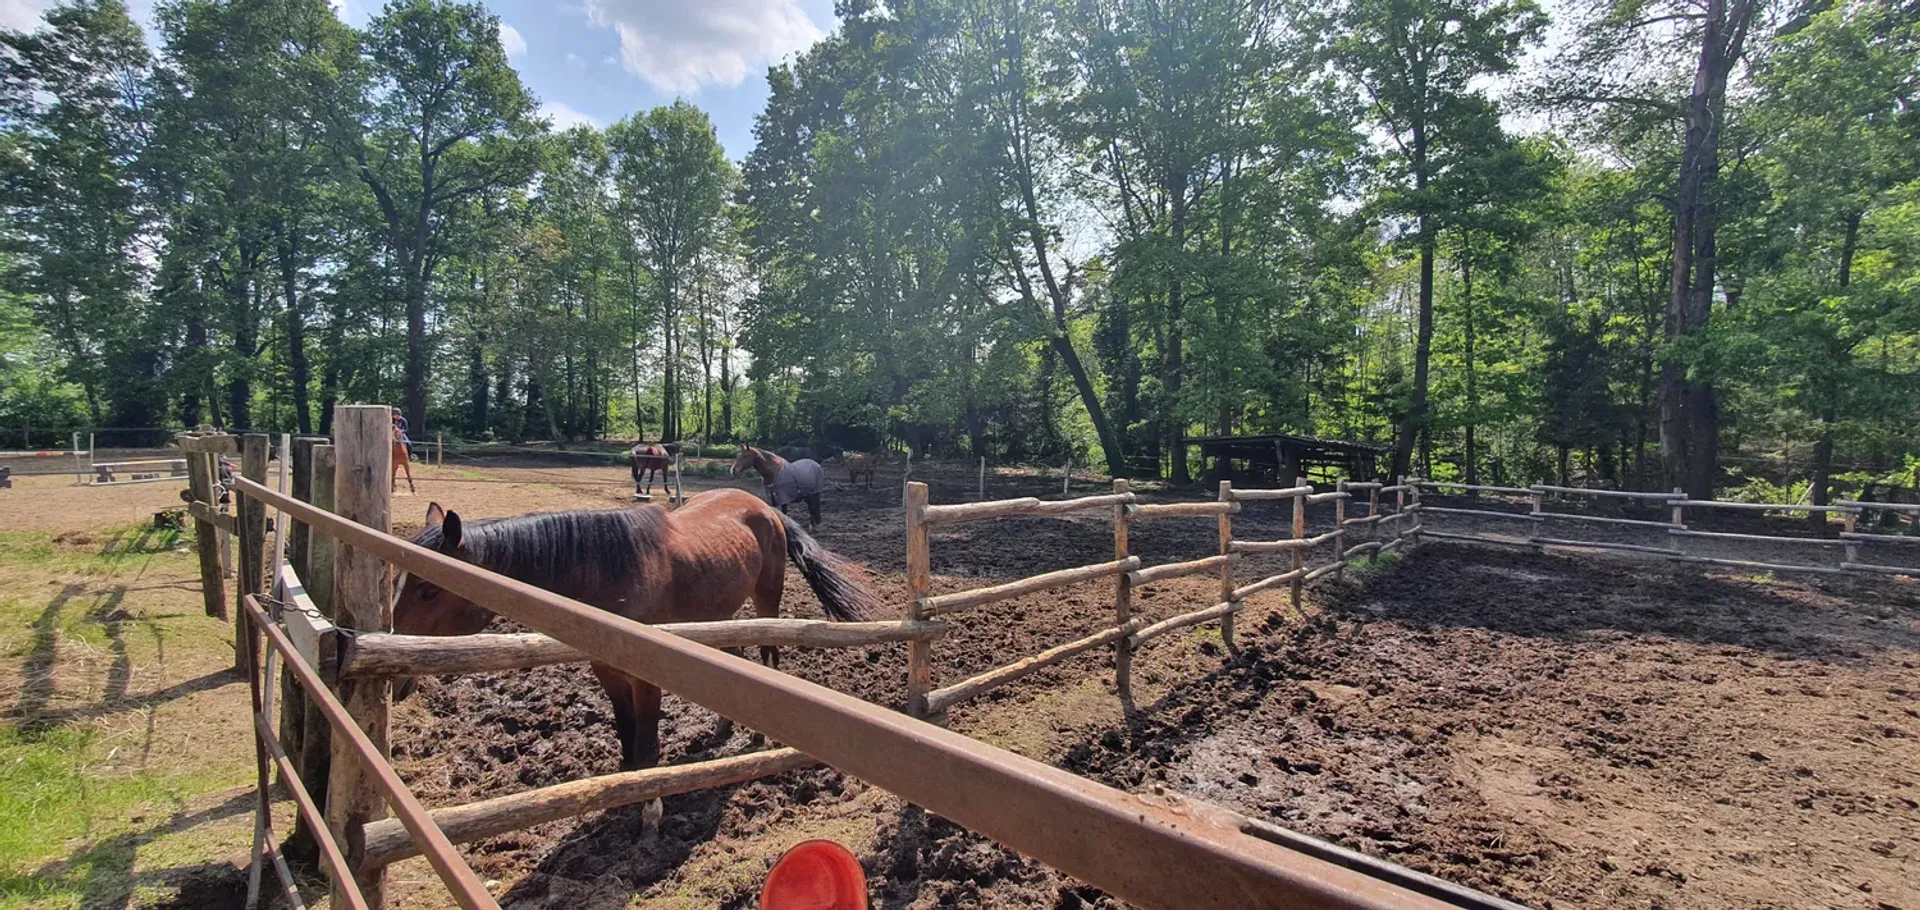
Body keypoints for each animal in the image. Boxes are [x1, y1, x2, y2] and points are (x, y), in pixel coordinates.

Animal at [397, 495, 890, 771]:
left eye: (427, 589)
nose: (399, 675)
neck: (604, 572)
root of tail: (765, 506)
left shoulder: (648, 672)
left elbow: (648, 743)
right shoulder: (605, 668)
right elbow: (626, 734)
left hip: (766, 599)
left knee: (768, 651)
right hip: (715, 613)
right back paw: (724, 725)